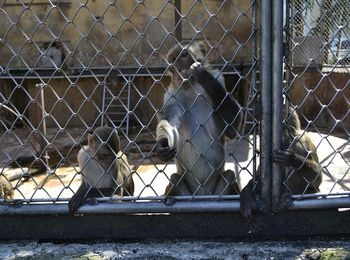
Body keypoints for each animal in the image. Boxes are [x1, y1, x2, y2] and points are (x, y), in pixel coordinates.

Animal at [156, 40, 243, 196]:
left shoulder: (219, 78)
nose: (177, 70)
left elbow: (231, 131)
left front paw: (205, 77)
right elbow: (170, 123)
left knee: (229, 175)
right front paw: (163, 144)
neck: (192, 88)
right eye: (172, 61)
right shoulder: (171, 97)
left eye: (184, 55)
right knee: (175, 178)